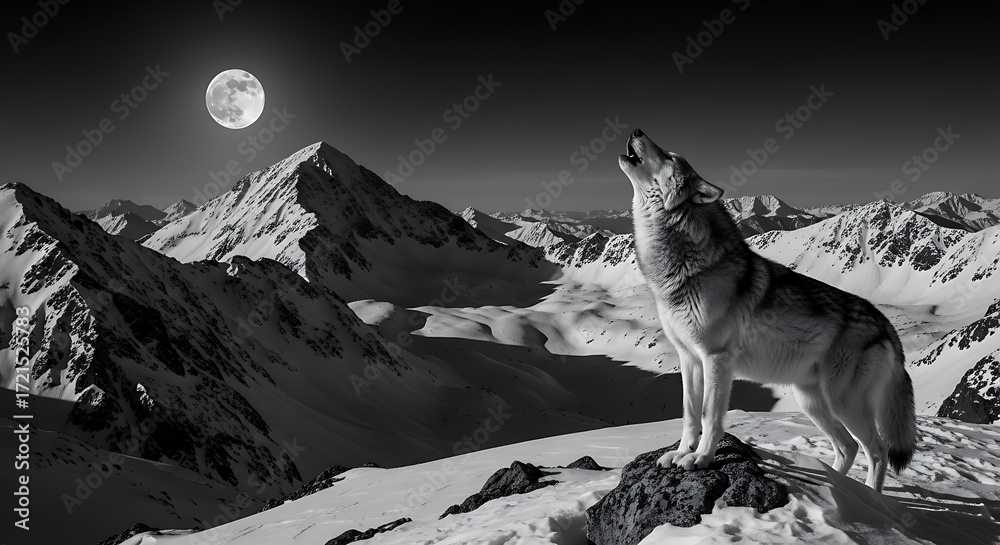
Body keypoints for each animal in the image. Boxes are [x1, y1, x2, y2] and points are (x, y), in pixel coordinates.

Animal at [620, 129, 916, 492]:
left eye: (669, 156)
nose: (636, 130)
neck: (685, 269)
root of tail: (886, 325)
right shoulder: (688, 357)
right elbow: (689, 413)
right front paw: (679, 454)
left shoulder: (717, 359)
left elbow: (708, 415)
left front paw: (700, 459)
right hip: (813, 403)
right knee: (847, 447)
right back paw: (834, 490)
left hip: (842, 403)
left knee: (876, 451)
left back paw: (870, 499)